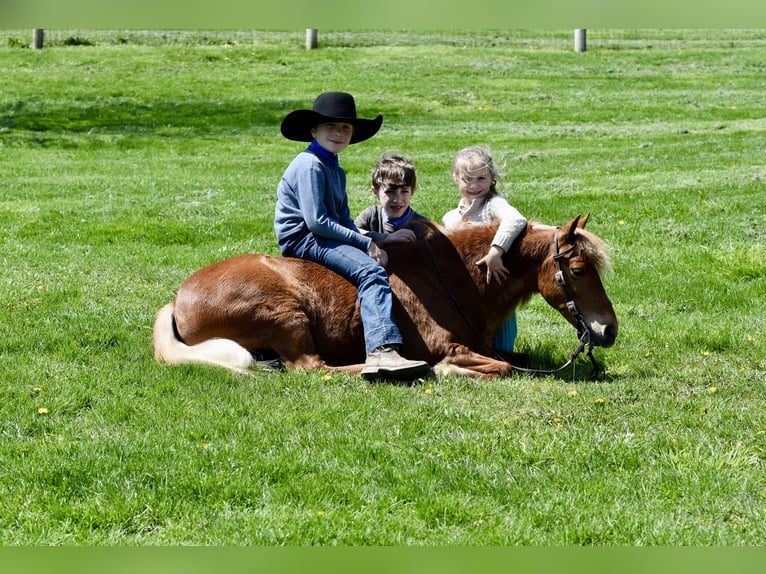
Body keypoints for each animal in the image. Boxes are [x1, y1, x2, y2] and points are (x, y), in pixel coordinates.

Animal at [153, 214, 617, 379]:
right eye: (579, 270)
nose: (609, 330)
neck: (453, 278)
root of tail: (179, 300)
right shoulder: (451, 347)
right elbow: (501, 367)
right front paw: (443, 370)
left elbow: (516, 359)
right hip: (287, 316)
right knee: (312, 368)